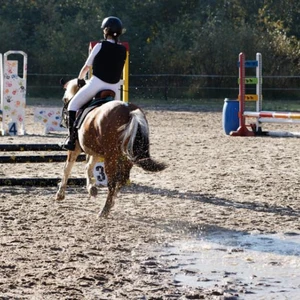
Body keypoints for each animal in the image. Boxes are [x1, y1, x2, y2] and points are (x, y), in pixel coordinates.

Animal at [54, 78, 166, 217]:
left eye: (64, 99)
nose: (61, 123)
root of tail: (129, 110)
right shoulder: (95, 152)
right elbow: (89, 166)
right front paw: (92, 188)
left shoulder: (76, 148)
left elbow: (67, 169)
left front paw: (60, 194)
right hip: (127, 157)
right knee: (122, 179)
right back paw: (110, 203)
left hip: (111, 157)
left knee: (113, 182)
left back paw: (104, 210)